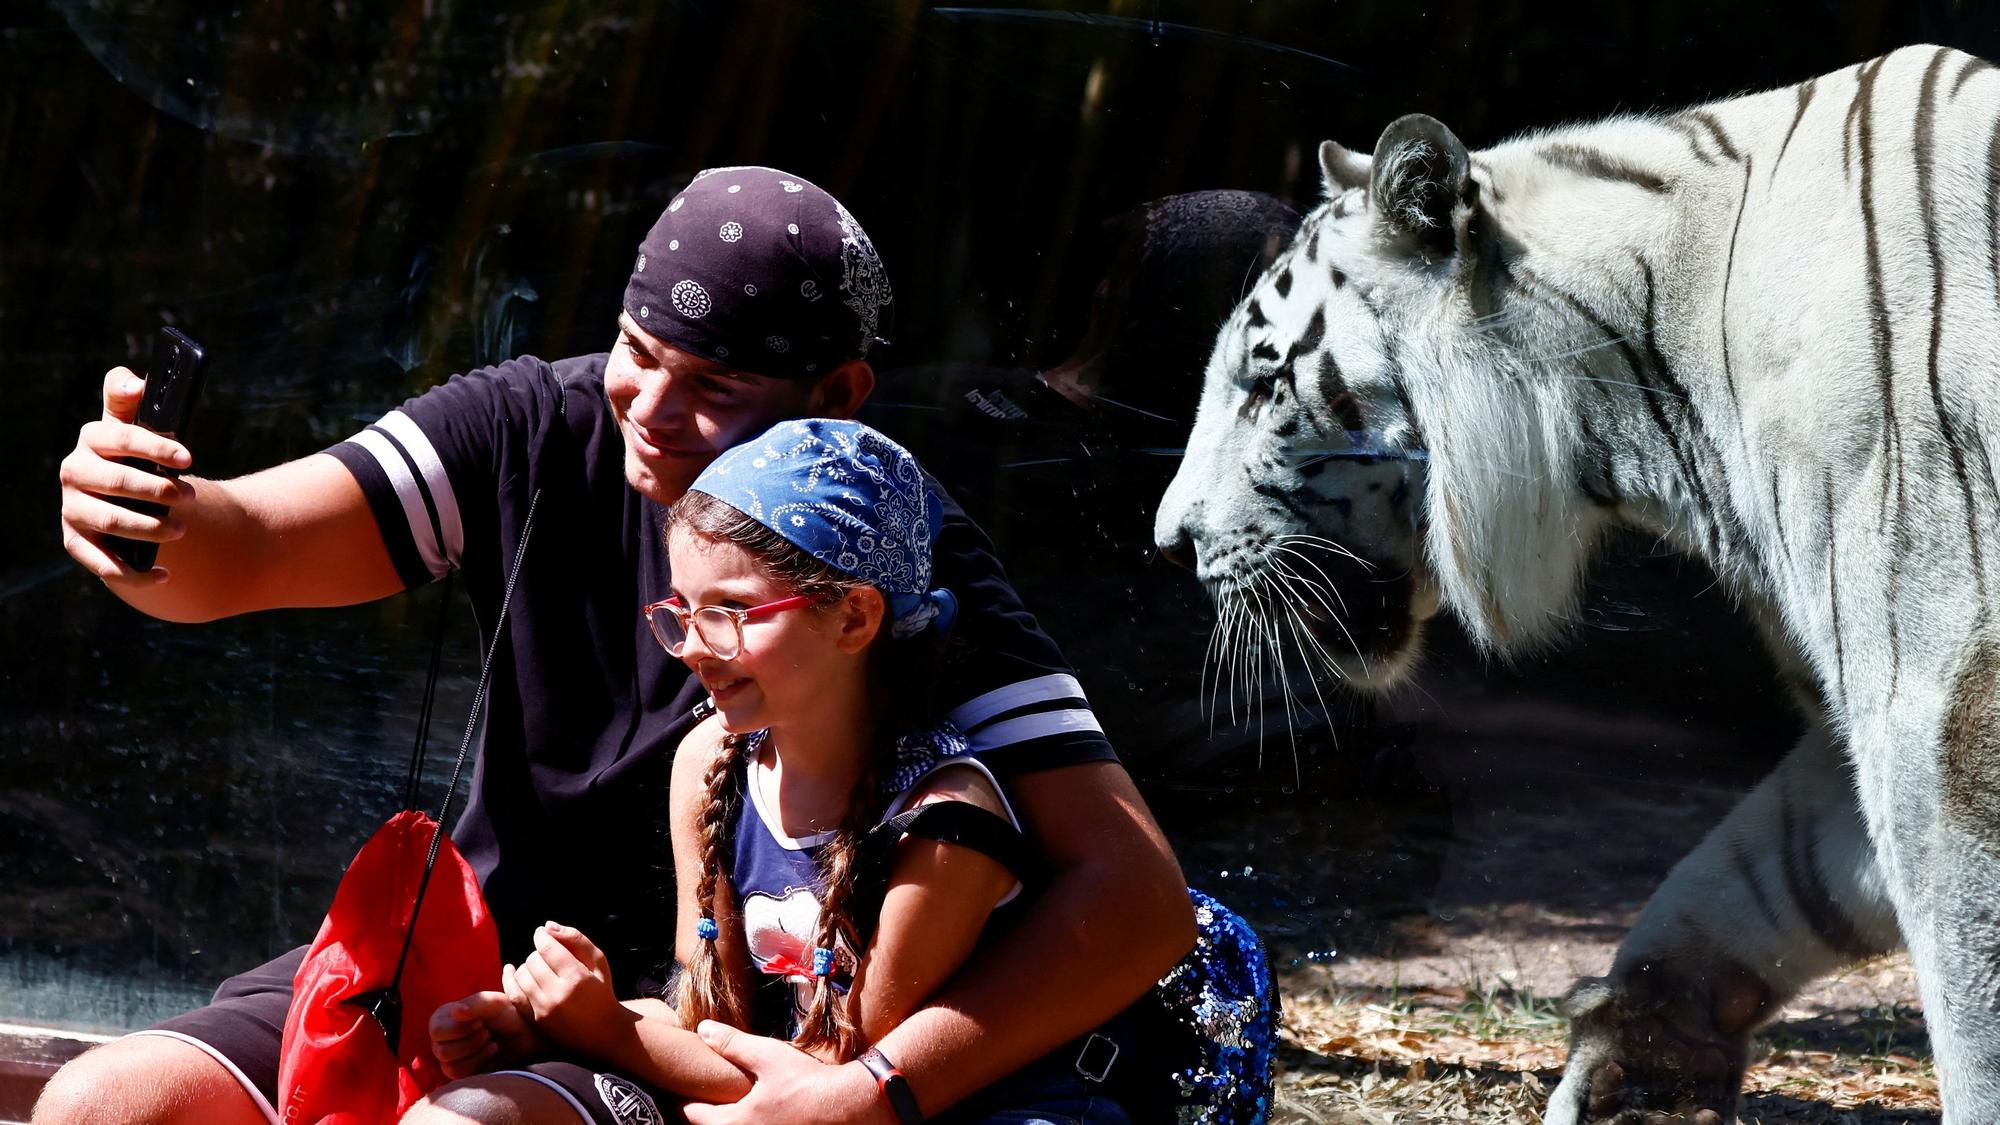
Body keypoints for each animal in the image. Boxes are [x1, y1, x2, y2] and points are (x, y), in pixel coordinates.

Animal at [1160, 43, 2000, 1120]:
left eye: (1264, 383)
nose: (1169, 540)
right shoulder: (1863, 709)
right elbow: (1763, 868)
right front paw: (1636, 1052)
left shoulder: (1936, 701)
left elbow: (1964, 974)